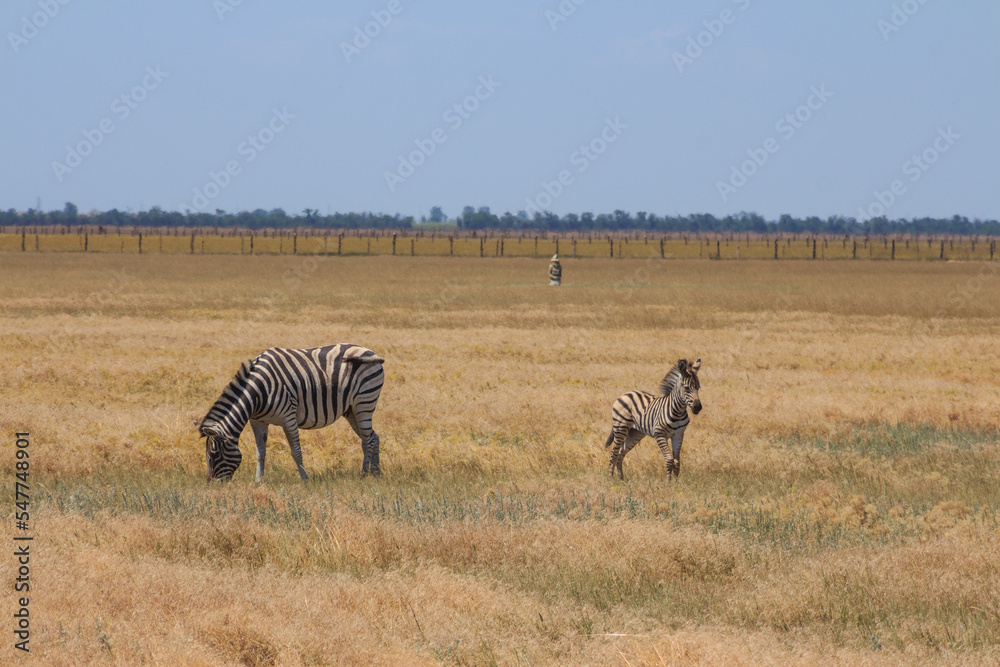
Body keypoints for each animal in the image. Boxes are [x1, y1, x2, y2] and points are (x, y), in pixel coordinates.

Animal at [198, 344, 385, 481]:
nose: (212, 484)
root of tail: (369, 351)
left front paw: (305, 479)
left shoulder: (288, 417)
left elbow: (296, 451)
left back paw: (364, 475)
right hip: (351, 409)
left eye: (214, 454)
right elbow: (260, 452)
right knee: (373, 437)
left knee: (368, 440)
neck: (258, 393)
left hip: (364, 402)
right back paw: (376, 473)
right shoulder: (257, 421)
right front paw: (259, 481)